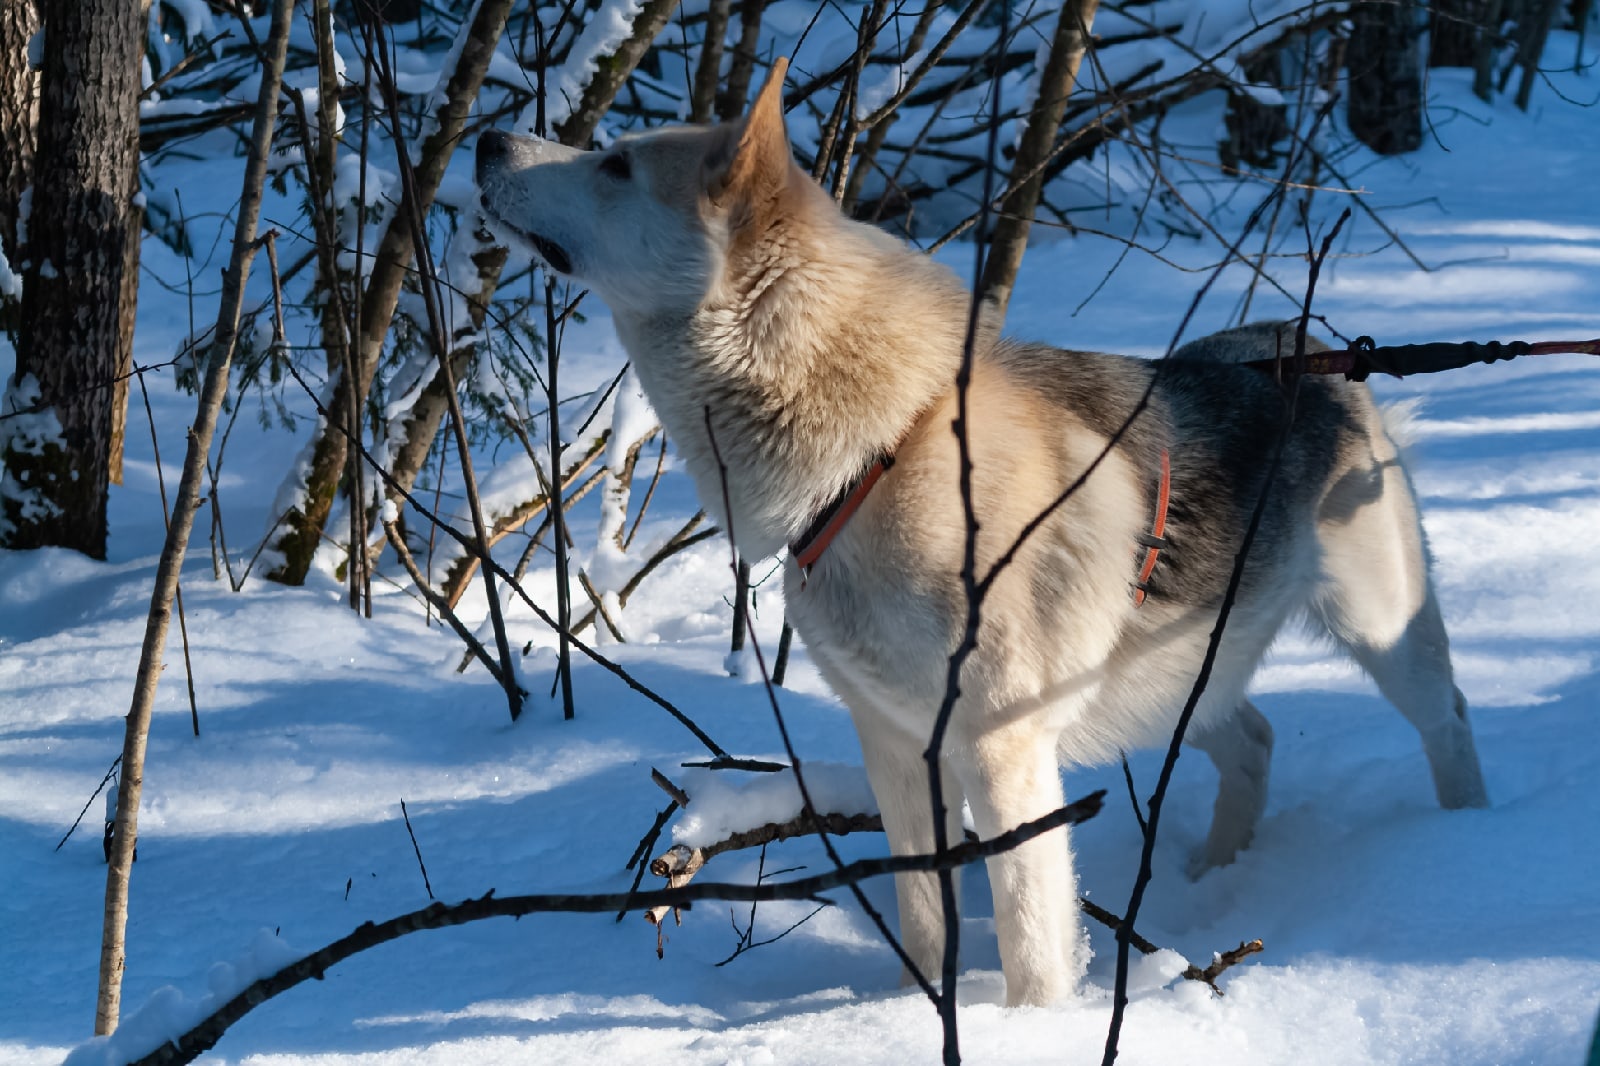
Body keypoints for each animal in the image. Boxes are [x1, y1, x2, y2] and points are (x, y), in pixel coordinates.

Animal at [470, 58, 1484, 1005]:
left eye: (617, 165)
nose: (485, 140)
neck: (880, 450)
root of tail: (1310, 351)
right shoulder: (894, 747)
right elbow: (926, 919)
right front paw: (906, 1014)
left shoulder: (1004, 758)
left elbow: (1033, 944)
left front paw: (1031, 1028)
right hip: (1178, 682)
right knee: (1258, 741)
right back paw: (1211, 880)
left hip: (1383, 635)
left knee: (1449, 724)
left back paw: (1465, 840)